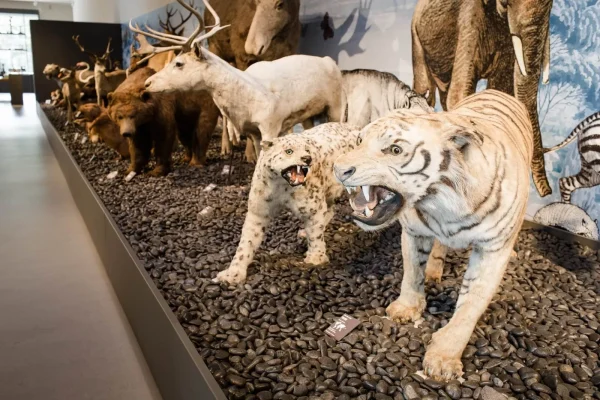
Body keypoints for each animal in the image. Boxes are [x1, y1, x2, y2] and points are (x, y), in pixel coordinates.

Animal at [130, 0, 346, 159]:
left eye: (179, 63)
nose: (147, 83)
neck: (245, 99)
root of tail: (331, 62)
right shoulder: (254, 132)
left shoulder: (271, 125)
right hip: (309, 114)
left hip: (336, 106)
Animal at [213, 122, 358, 284]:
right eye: (289, 151)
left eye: (307, 150)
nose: (307, 158)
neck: (281, 187)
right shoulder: (258, 210)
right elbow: (247, 242)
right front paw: (232, 274)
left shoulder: (312, 208)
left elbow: (315, 234)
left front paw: (316, 258)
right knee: (330, 210)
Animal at [332, 89, 536, 380]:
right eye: (360, 140)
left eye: (395, 150)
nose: (338, 169)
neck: (442, 205)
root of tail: (494, 90)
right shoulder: (414, 232)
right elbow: (411, 273)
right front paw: (406, 308)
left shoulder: (491, 250)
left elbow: (471, 304)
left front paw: (443, 359)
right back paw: (434, 271)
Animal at [412, 0, 552, 198]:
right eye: (507, 2)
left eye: (551, 6)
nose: (548, 193)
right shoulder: (469, 18)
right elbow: (460, 93)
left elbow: (499, 89)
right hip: (416, 37)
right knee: (426, 91)